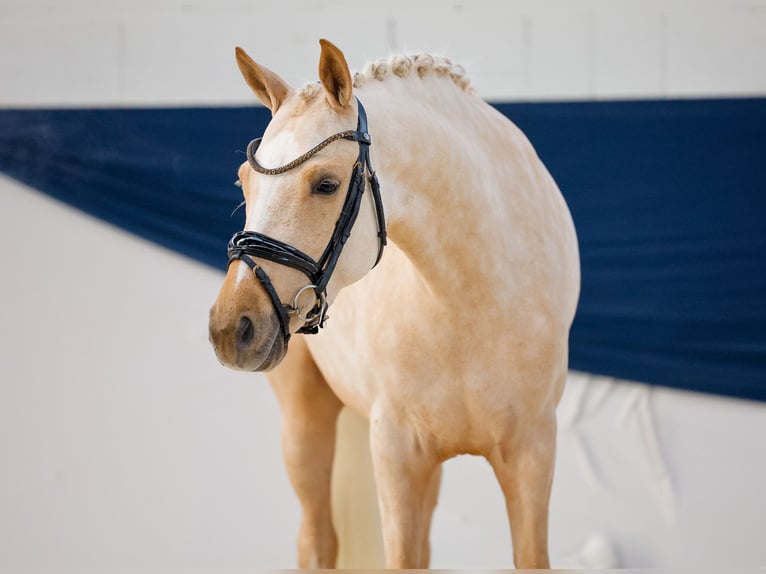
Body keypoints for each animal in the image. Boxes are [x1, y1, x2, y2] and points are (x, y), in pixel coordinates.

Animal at [210, 39, 584, 572]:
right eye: (244, 182)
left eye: (325, 184)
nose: (231, 328)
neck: (469, 302)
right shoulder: (396, 452)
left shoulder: (532, 452)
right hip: (305, 418)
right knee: (316, 540)